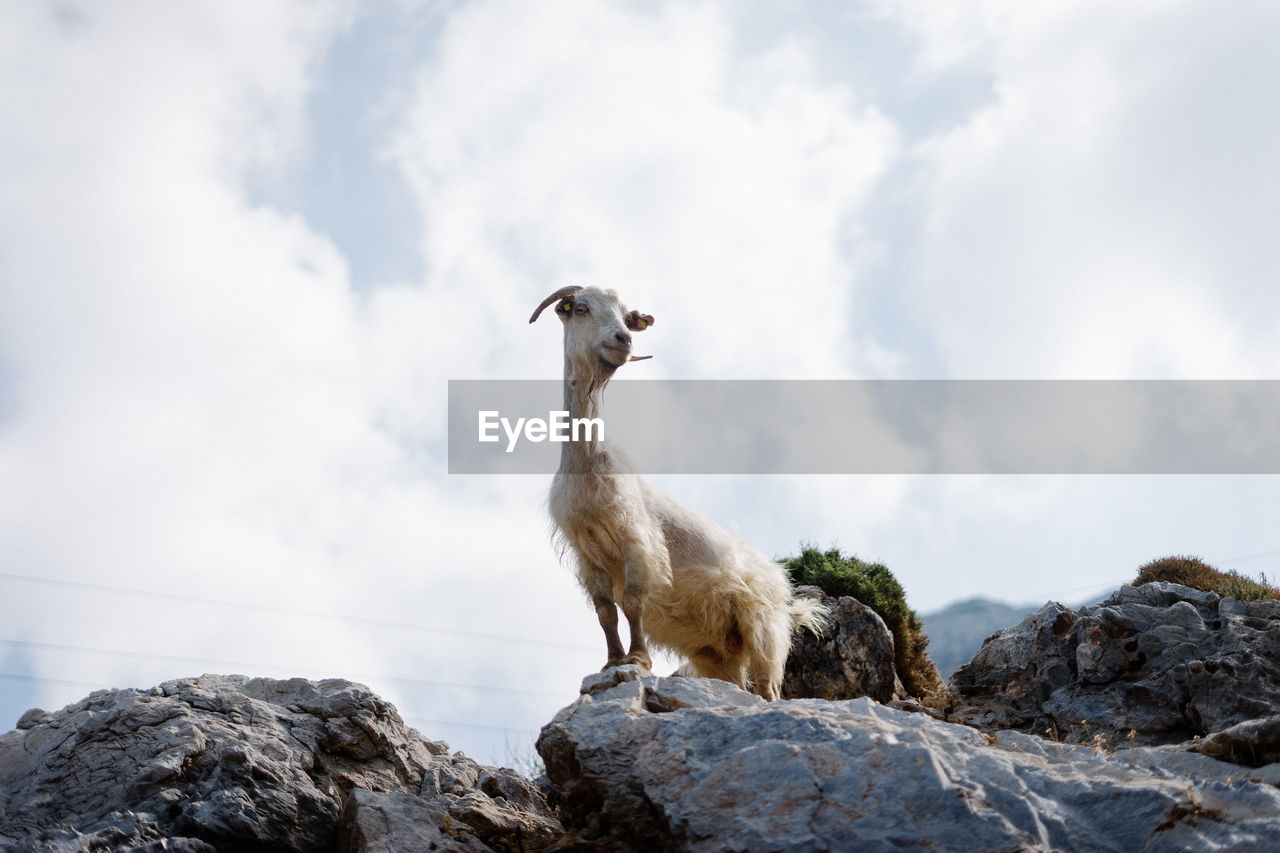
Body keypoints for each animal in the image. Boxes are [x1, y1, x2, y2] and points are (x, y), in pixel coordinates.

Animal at [529, 285, 829, 696]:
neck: (588, 466)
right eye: (581, 309)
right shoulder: (587, 555)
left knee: (768, 688)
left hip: (764, 630)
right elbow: (606, 612)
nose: (624, 339)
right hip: (717, 655)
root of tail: (782, 586)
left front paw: (638, 659)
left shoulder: (638, 541)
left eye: (625, 315)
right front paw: (612, 661)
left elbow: (633, 602)